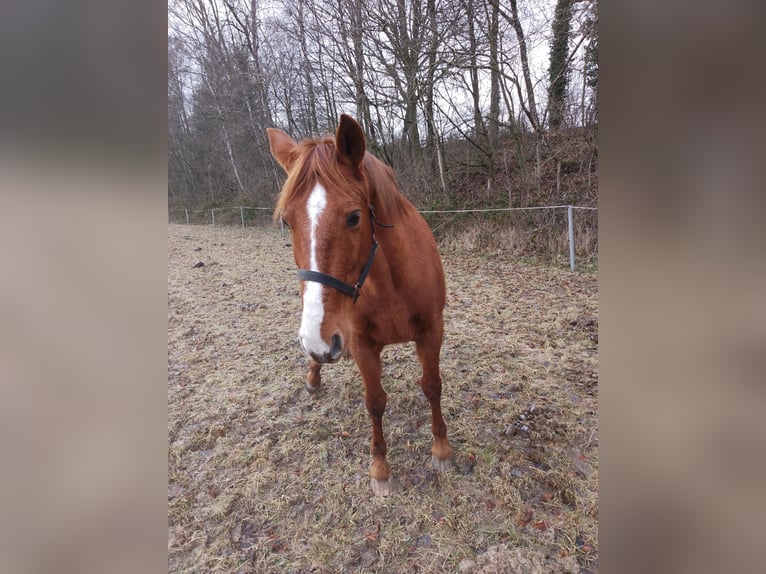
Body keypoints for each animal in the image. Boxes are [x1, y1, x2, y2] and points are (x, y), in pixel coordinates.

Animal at [266, 115, 453, 496]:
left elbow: (432, 386)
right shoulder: (362, 344)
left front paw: (441, 449)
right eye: (287, 221)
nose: (320, 341)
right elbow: (375, 402)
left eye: (354, 217)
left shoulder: (431, 332)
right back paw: (313, 376)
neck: (391, 284)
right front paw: (380, 468)